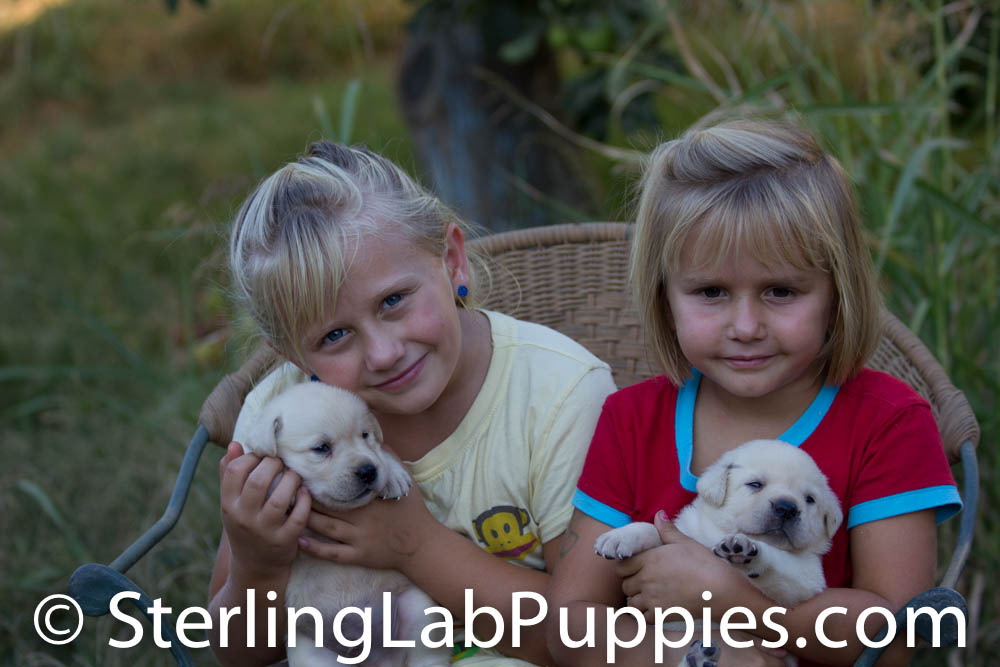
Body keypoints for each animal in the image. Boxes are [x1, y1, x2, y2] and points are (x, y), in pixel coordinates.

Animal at [242, 381, 450, 667]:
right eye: (321, 448)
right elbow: (269, 463)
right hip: (308, 652)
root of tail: (376, 660)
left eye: (365, 435)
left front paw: (393, 476)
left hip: (419, 612)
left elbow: (382, 452)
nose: (368, 471)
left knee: (426, 655)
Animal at [594, 439, 842, 666]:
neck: (718, 535)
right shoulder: (685, 533)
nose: (787, 507)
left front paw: (748, 549)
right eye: (755, 484)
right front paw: (621, 537)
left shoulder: (806, 576)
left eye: (810, 499)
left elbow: (778, 560)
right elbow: (653, 530)